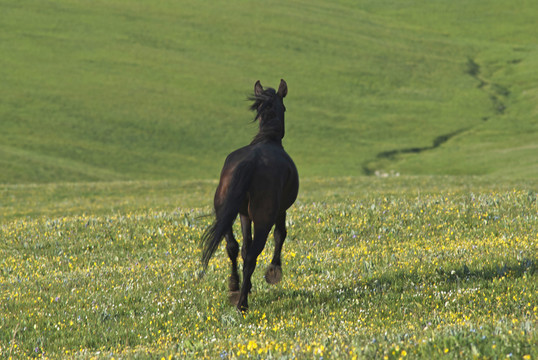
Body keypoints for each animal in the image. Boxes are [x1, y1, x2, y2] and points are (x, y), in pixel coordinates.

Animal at [199, 79, 298, 312]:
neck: (268, 139)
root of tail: (251, 162)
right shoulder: (280, 210)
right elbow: (280, 234)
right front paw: (274, 272)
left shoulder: (244, 215)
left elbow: (242, 248)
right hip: (264, 218)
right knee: (254, 254)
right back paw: (242, 303)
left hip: (224, 212)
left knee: (232, 247)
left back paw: (234, 287)